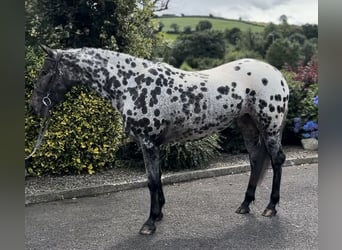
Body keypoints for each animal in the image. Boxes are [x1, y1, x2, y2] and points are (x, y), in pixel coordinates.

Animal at [31, 45, 288, 234]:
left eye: (44, 72)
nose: (34, 107)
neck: (131, 84)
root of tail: (278, 75)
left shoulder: (147, 143)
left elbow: (152, 181)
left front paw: (150, 222)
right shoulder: (154, 144)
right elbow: (158, 177)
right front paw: (160, 213)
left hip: (270, 126)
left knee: (277, 160)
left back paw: (270, 207)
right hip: (248, 123)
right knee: (255, 160)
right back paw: (245, 205)